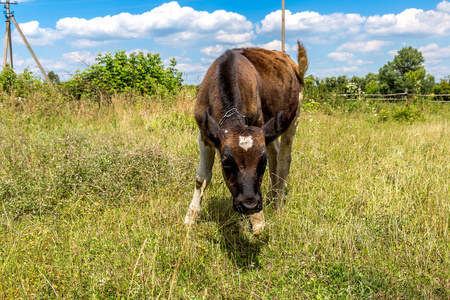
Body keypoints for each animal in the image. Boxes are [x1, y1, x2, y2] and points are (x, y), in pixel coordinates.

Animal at [185, 41, 308, 234]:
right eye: (226, 163)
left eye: (262, 164)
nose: (249, 205)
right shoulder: (204, 133)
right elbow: (201, 178)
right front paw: (190, 218)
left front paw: (258, 221)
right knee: (275, 154)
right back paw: (271, 195)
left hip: (294, 116)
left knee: (283, 159)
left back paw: (278, 203)